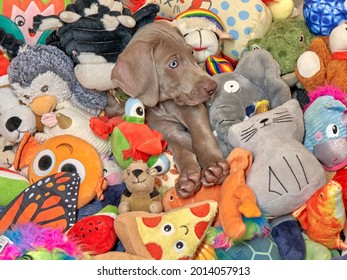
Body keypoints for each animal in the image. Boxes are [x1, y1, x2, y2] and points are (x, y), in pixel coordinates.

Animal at [111, 20, 231, 197]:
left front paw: (213, 164)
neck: (162, 105)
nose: (212, 87)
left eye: (192, 53)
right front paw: (188, 176)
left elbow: (201, 138)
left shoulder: (193, 110)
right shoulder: (168, 130)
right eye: (173, 64)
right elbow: (182, 149)